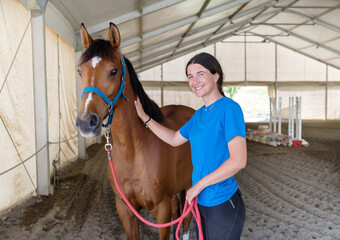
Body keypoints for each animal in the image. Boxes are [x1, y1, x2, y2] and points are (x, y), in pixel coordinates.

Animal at [76, 21, 195, 239]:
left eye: (114, 71)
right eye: (80, 71)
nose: (86, 121)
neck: (133, 151)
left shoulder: (162, 209)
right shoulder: (125, 209)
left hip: (190, 186)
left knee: (185, 222)